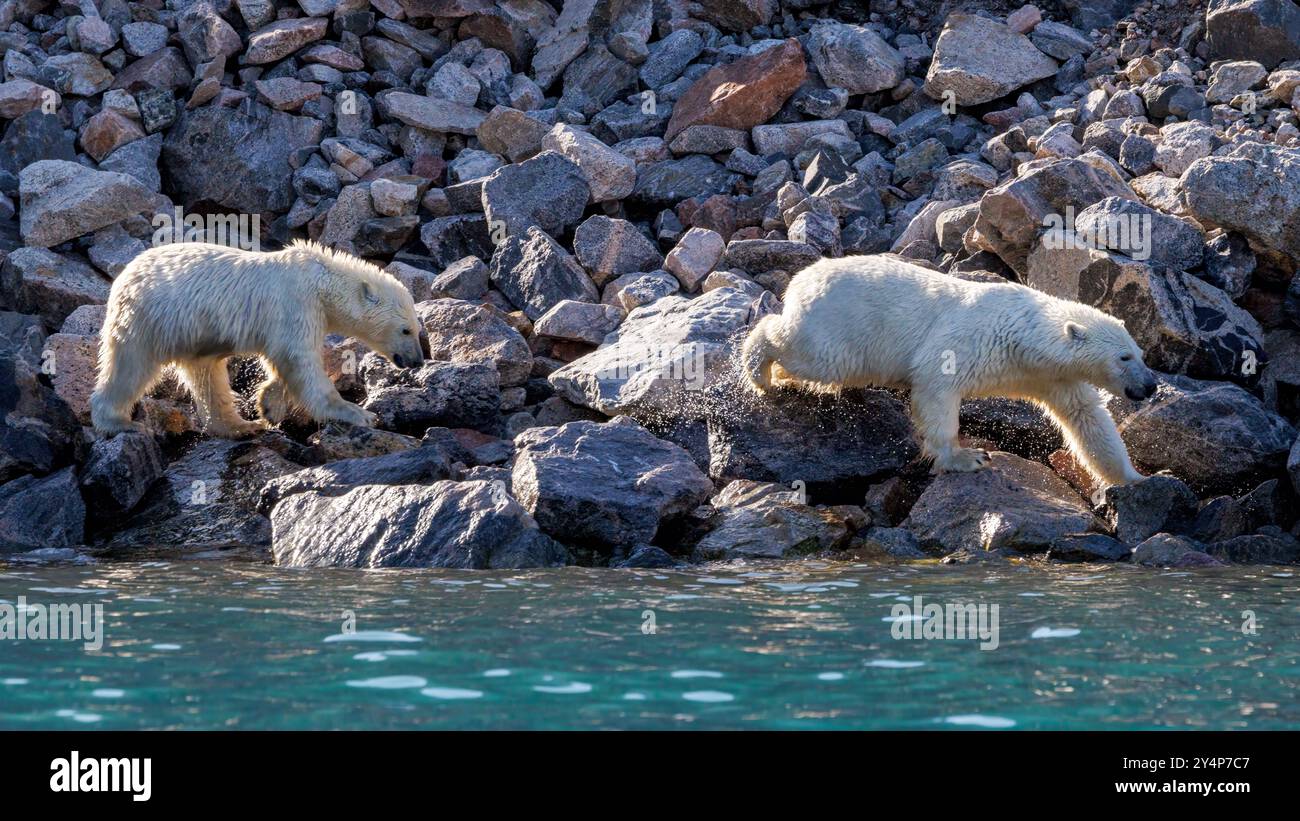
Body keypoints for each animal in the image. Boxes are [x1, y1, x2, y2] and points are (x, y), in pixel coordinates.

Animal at [90, 240, 425, 438]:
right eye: (406, 329)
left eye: (418, 329)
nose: (417, 361)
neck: (320, 282)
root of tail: (123, 276)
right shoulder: (295, 303)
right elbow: (299, 360)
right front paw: (360, 414)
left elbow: (285, 363)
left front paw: (268, 406)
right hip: (148, 320)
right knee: (130, 368)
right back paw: (118, 421)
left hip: (190, 337)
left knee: (206, 376)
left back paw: (240, 426)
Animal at [740, 254, 1158, 488]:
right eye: (1124, 357)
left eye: (1141, 353)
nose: (1150, 386)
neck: (1022, 335)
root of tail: (801, 278)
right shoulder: (966, 343)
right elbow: (936, 387)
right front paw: (966, 458)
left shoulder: (1054, 377)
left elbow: (1087, 418)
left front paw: (1139, 478)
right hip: (842, 327)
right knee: (806, 349)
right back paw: (759, 372)